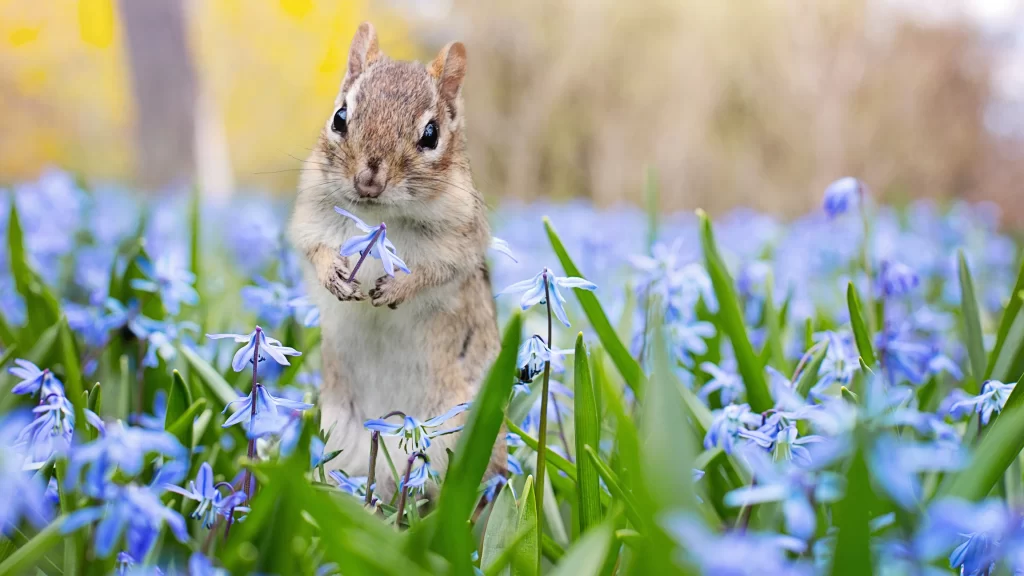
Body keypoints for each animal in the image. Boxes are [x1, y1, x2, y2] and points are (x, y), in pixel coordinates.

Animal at [288, 22, 502, 497]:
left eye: (431, 134)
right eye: (340, 117)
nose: (369, 179)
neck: (376, 216)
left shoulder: (458, 242)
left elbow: (434, 272)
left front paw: (396, 288)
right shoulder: (310, 218)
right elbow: (315, 250)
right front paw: (335, 276)